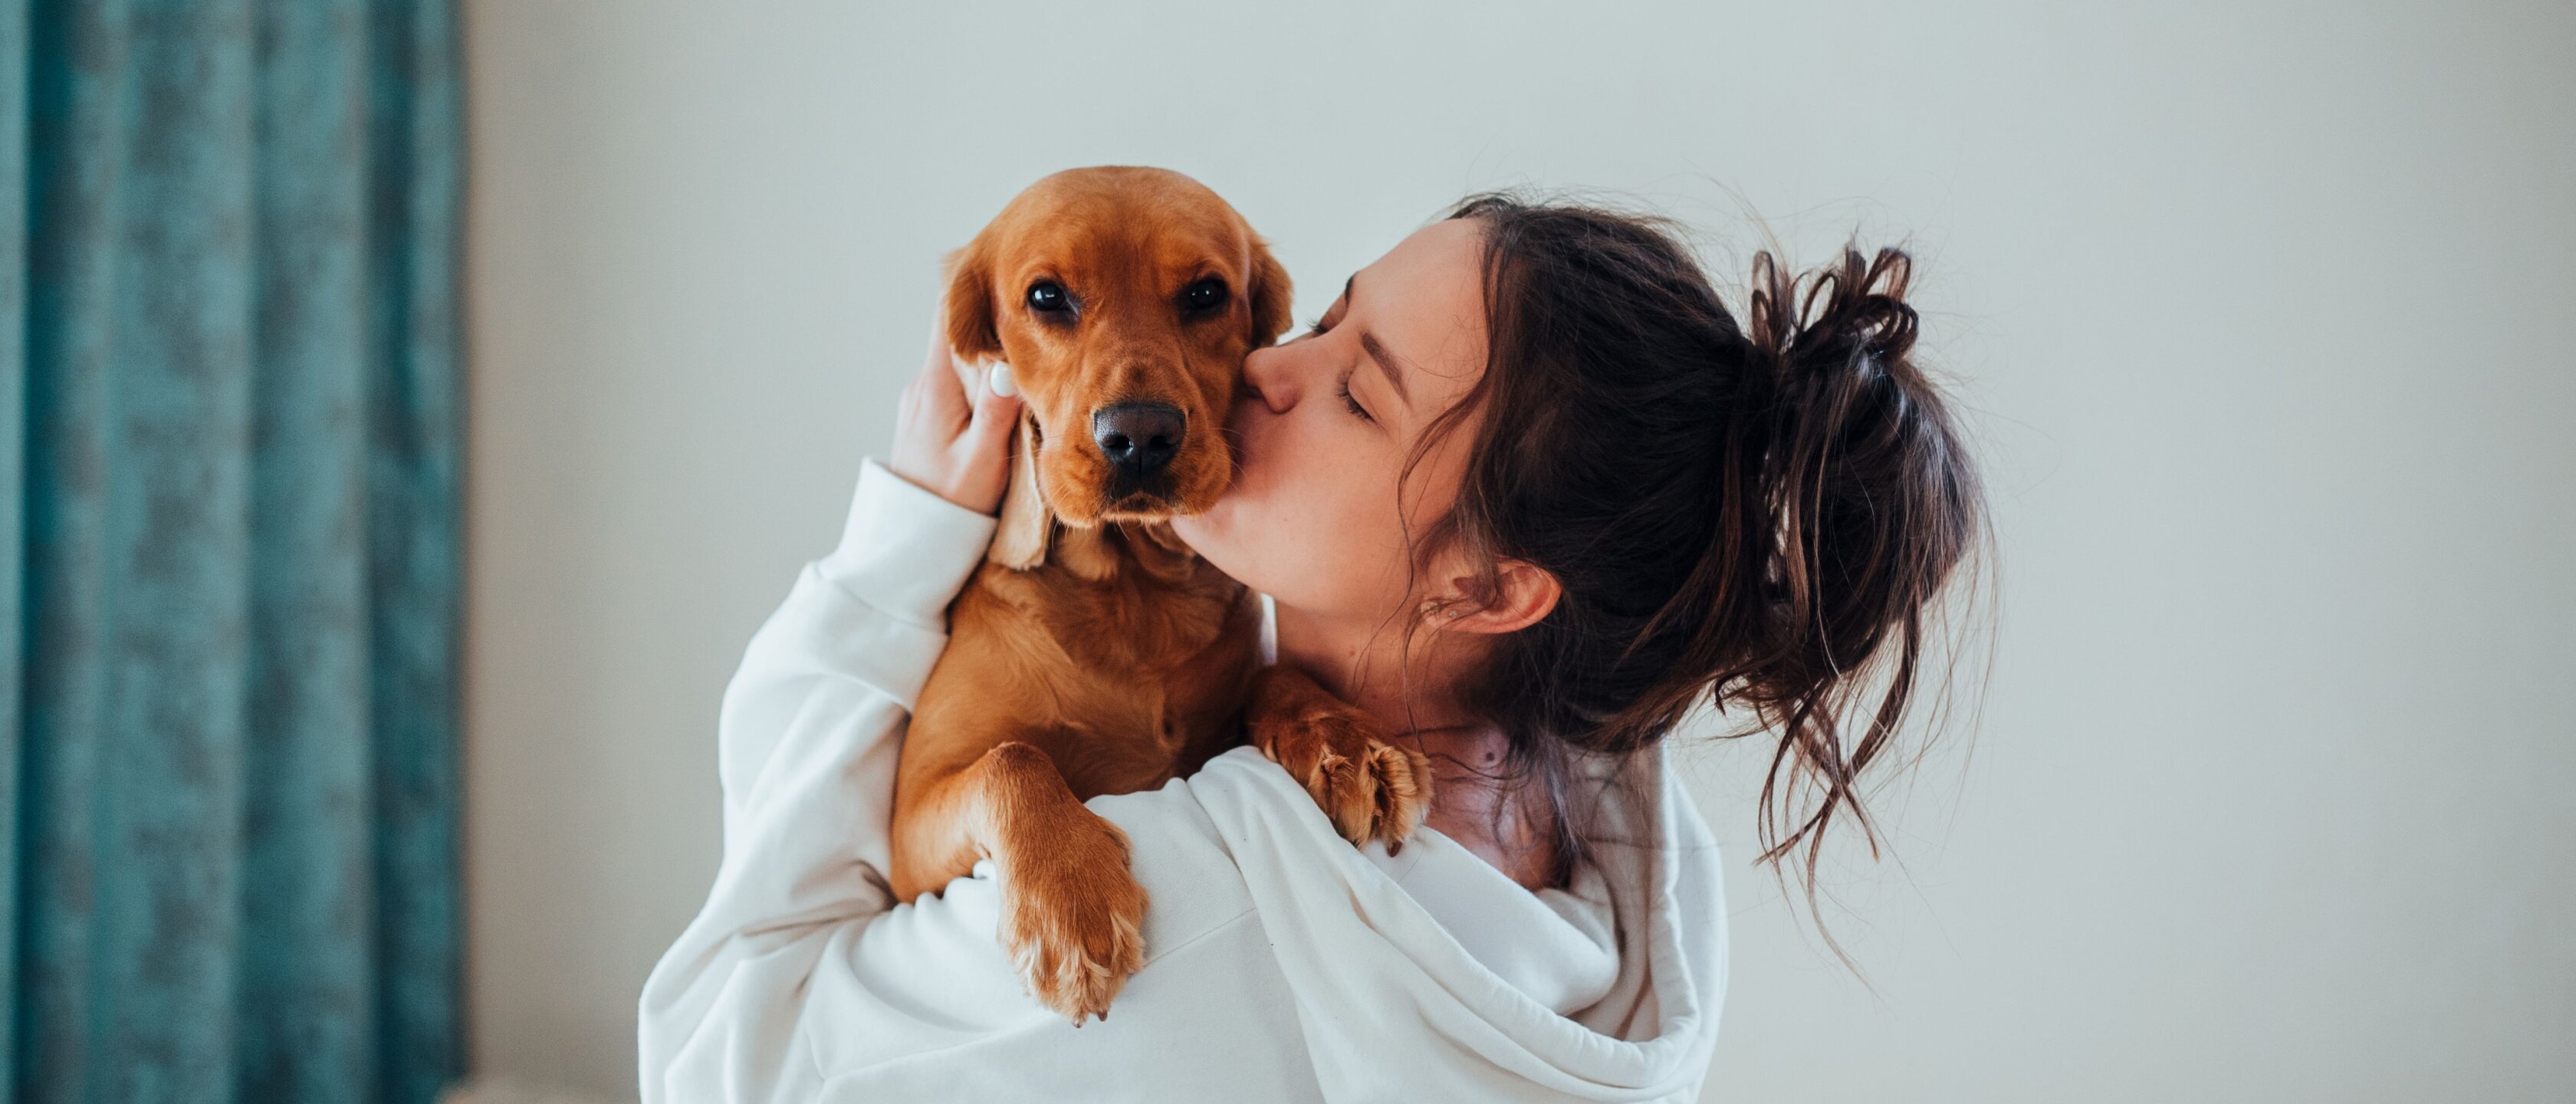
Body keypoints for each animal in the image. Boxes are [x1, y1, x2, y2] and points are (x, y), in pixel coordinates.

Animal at [891, 166, 1432, 1024]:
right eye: (1046, 297)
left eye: (1207, 294)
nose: (1140, 437)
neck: (1133, 593)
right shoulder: (907, 845)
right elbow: (1012, 757)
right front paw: (1068, 902)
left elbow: (1274, 674)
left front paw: (1344, 739)